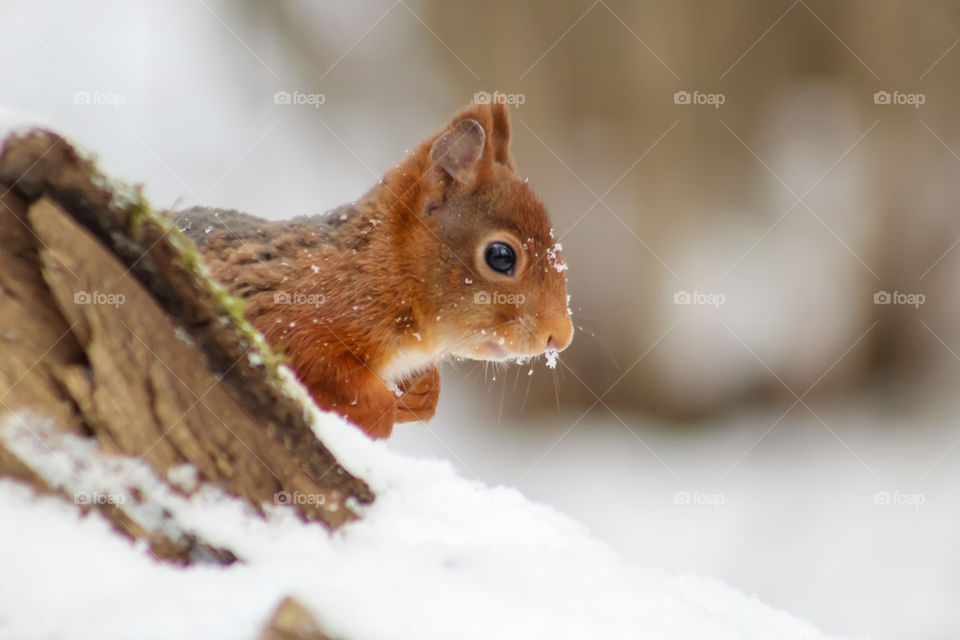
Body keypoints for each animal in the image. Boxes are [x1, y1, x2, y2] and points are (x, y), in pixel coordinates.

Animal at [177, 102, 572, 438]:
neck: (384, 270)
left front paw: (422, 393)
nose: (560, 337)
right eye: (501, 256)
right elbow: (319, 365)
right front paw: (380, 412)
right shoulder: (290, 312)